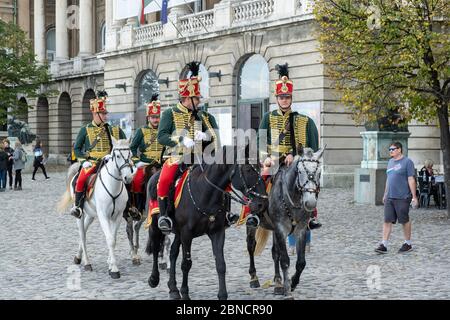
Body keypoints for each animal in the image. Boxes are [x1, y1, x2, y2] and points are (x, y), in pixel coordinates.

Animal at [57, 139, 134, 278]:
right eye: (117, 156)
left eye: (130, 154)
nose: (128, 178)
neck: (113, 185)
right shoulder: (104, 216)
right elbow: (110, 239)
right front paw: (114, 269)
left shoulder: (117, 216)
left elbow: (113, 238)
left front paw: (110, 263)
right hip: (80, 215)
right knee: (82, 235)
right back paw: (87, 263)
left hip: (91, 215)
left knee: (85, 230)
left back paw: (78, 256)